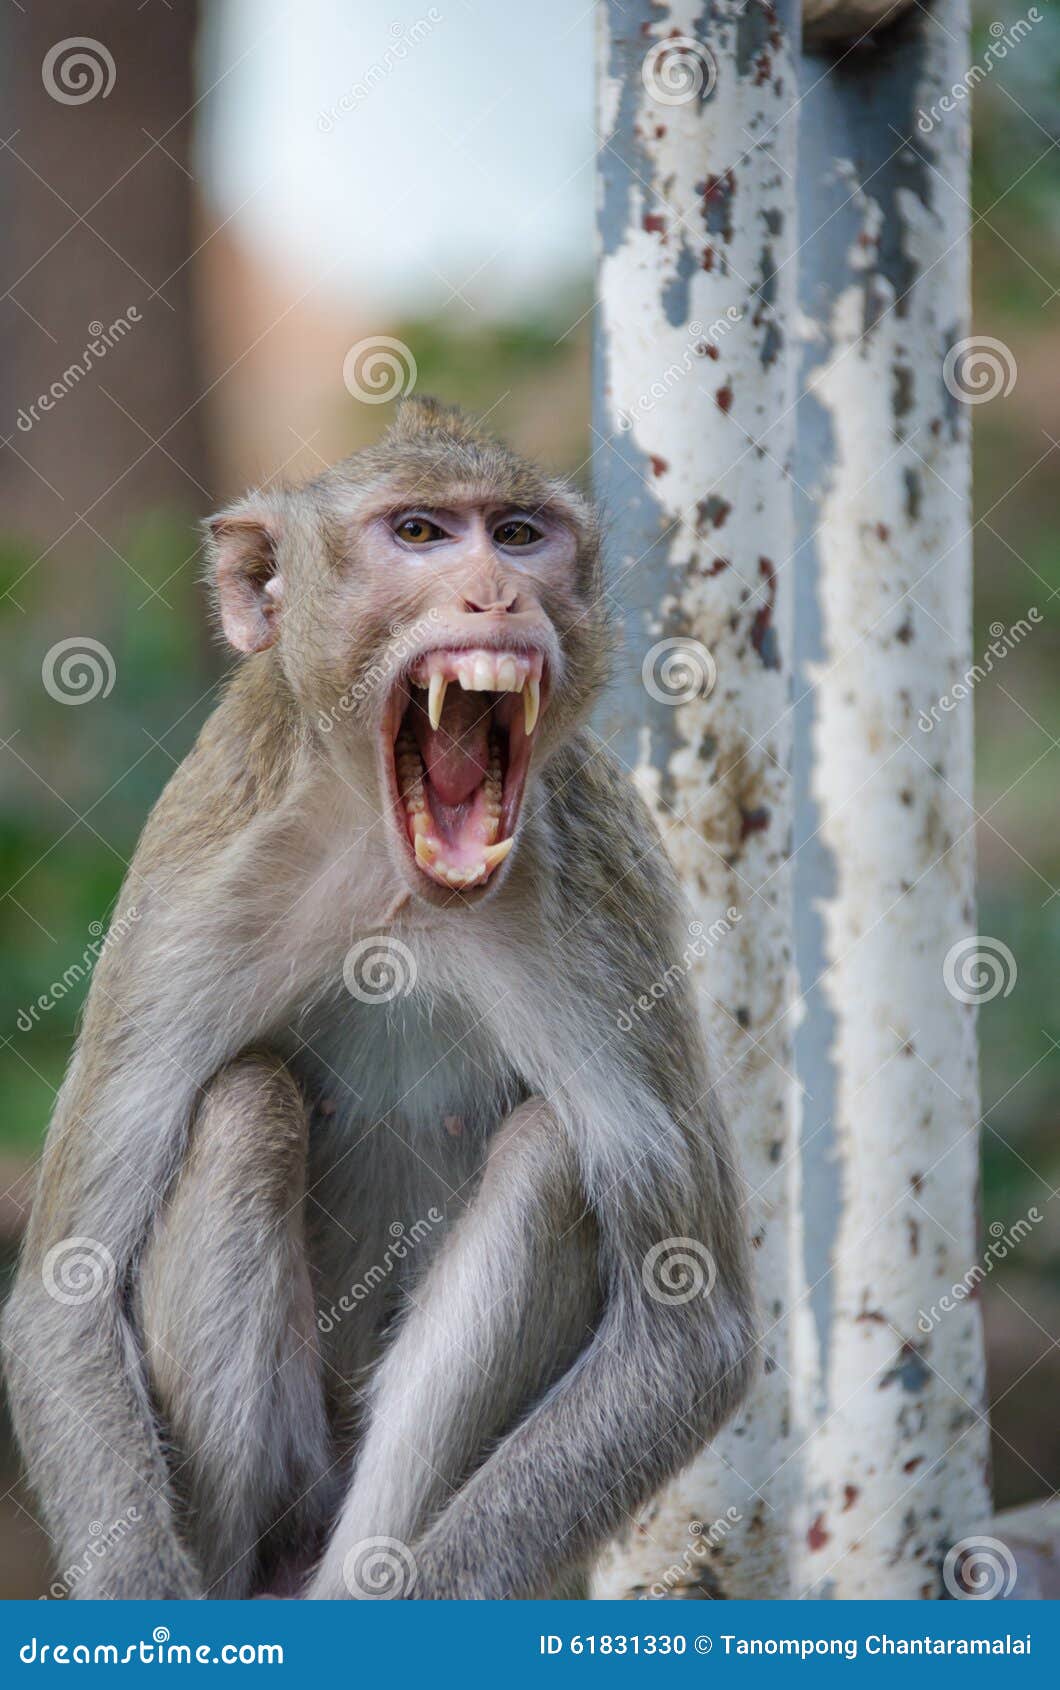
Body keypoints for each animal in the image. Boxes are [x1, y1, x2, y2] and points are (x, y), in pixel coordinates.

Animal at [2, 397, 756, 1600]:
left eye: (519, 536)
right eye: (418, 533)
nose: (497, 593)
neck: (393, 875)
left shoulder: (605, 898)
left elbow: (693, 1328)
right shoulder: (190, 888)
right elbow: (65, 1289)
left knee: (549, 1158)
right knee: (245, 1109)